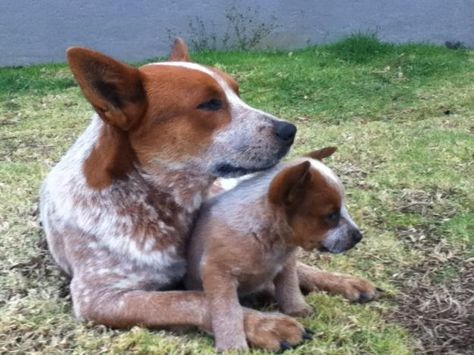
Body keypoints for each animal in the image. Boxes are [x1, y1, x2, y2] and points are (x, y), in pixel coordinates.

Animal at [39, 39, 374, 350]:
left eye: (237, 91)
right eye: (210, 104)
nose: (289, 130)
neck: (153, 205)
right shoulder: (98, 298)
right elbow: (193, 298)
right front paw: (265, 324)